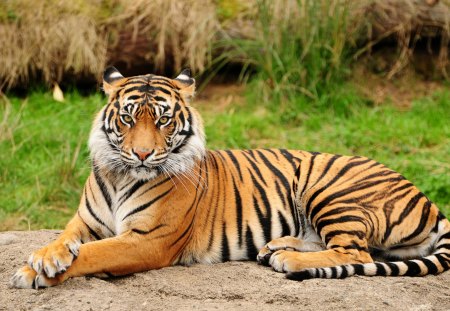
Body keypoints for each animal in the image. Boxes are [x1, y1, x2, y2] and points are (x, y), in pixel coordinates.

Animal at [8, 67, 448, 288]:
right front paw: (45, 257)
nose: (143, 154)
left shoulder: (148, 240)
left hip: (330, 189)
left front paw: (32, 273)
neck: (120, 175)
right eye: (129, 118)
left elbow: (96, 253)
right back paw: (276, 247)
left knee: (356, 252)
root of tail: (427, 199)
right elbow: (65, 240)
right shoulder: (84, 221)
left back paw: (287, 258)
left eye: (163, 120)